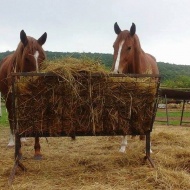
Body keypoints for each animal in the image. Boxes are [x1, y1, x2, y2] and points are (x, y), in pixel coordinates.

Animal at [0, 30, 47, 160]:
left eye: (42, 58)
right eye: (26, 58)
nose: (37, 82)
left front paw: (37, 151)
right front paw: (19, 151)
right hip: (7, 99)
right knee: (11, 117)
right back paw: (12, 141)